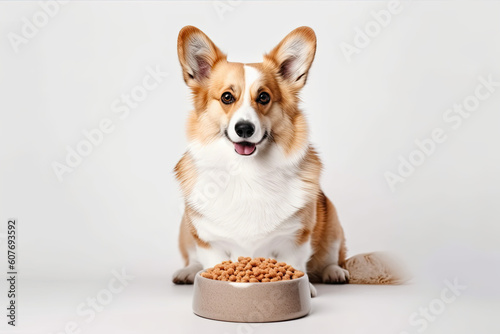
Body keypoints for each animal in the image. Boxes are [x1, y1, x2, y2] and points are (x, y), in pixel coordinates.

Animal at [174, 25, 404, 292]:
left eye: (264, 97)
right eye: (227, 97)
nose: (244, 129)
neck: (247, 172)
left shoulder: (296, 237)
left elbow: (294, 261)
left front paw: (305, 287)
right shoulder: (208, 239)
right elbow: (212, 262)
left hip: (332, 221)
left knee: (333, 257)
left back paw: (334, 272)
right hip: (185, 228)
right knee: (191, 258)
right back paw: (187, 272)